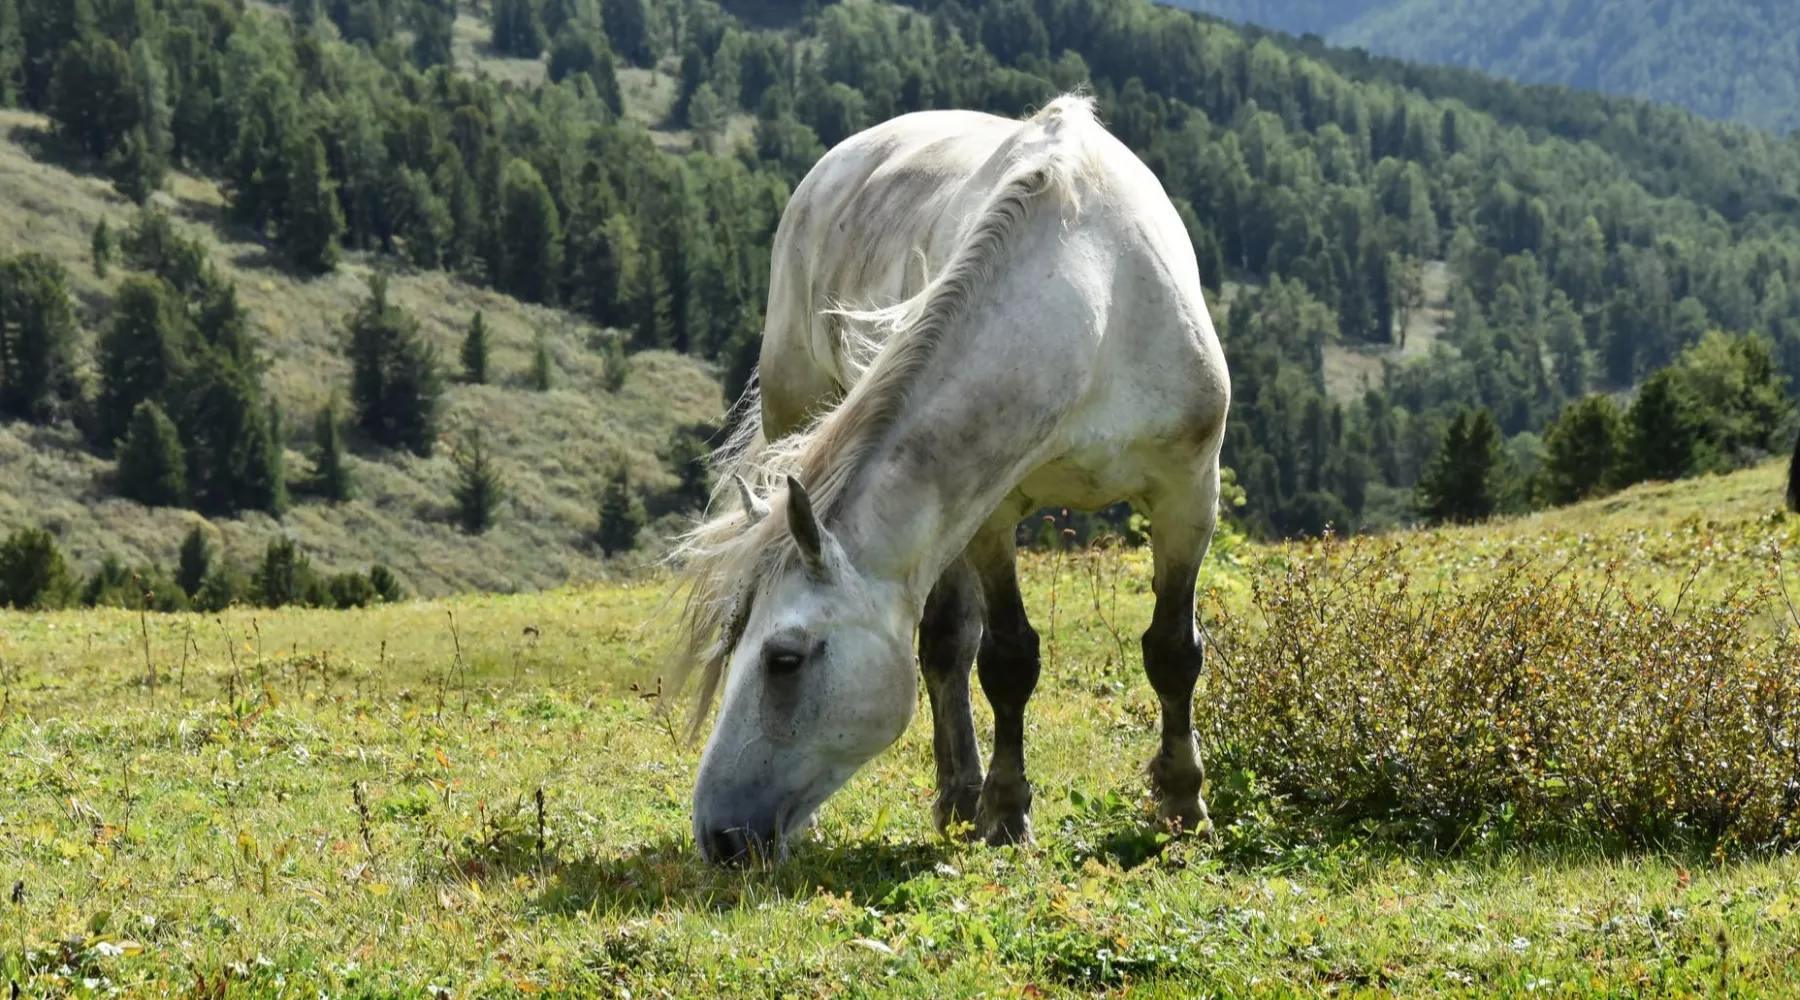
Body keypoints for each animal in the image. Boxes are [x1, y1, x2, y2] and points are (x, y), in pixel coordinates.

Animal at [669, 93, 1231, 863]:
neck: (1096, 296)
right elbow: (1006, 659)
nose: (719, 835)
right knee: (947, 646)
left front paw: (1182, 807)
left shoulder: (1187, 492)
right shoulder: (991, 513)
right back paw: (959, 800)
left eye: (784, 659)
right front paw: (1007, 814)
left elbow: (1173, 649)